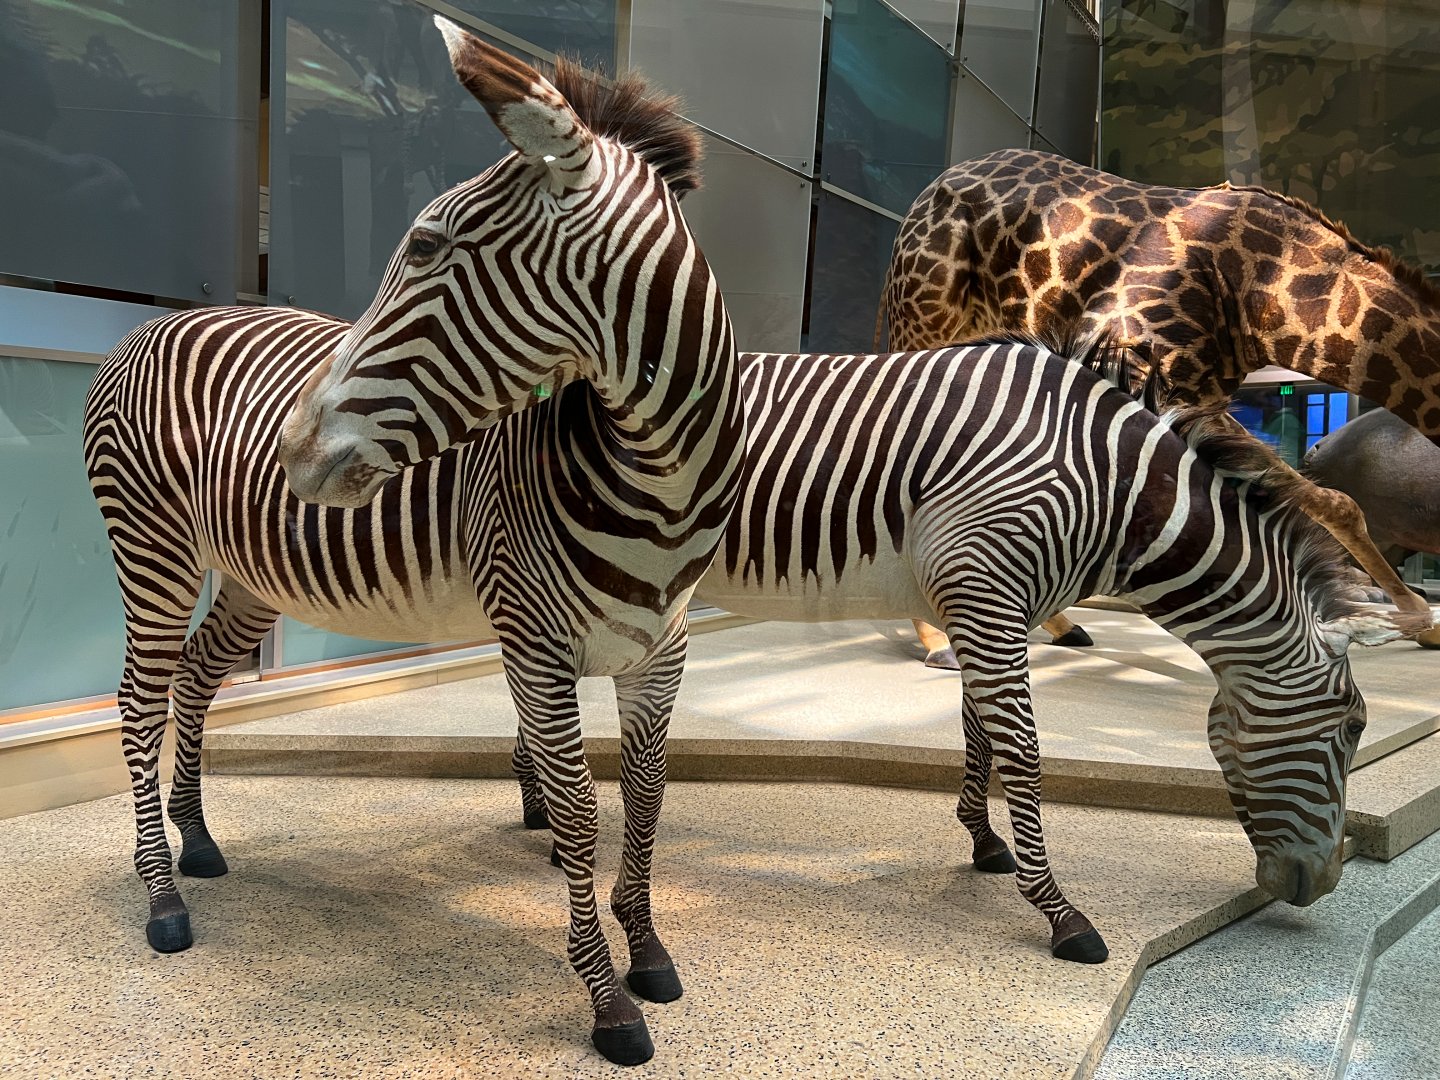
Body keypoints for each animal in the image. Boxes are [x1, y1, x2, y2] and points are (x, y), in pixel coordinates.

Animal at [83, 22, 742, 1067]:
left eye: (427, 244)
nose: (290, 452)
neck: (659, 486)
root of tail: (154, 325)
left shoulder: (660, 656)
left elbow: (645, 803)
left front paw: (649, 952)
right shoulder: (534, 646)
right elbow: (579, 810)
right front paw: (609, 1002)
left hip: (252, 578)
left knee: (194, 675)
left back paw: (198, 840)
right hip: (152, 548)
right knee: (139, 697)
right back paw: (161, 893)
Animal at [507, 338, 1413, 965]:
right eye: (1353, 728)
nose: (1322, 884)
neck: (1115, 491)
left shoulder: (991, 603)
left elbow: (981, 731)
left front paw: (984, 843)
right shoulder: (985, 590)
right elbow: (1026, 752)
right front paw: (1060, 911)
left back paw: (540, 815)